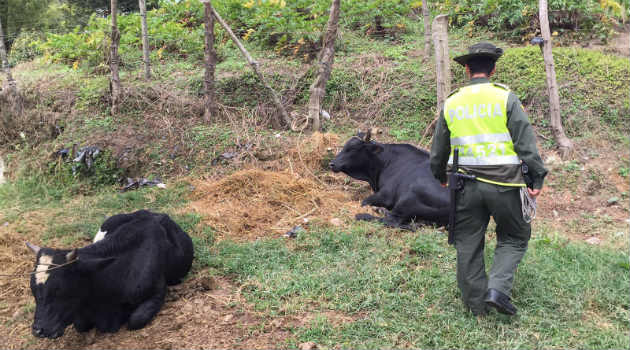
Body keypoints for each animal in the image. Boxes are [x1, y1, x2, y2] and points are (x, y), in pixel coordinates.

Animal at [27, 209, 194, 338]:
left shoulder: (157, 292)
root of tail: (150, 213)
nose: (38, 330)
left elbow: (136, 319)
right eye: (33, 290)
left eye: (59, 289)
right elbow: (80, 325)